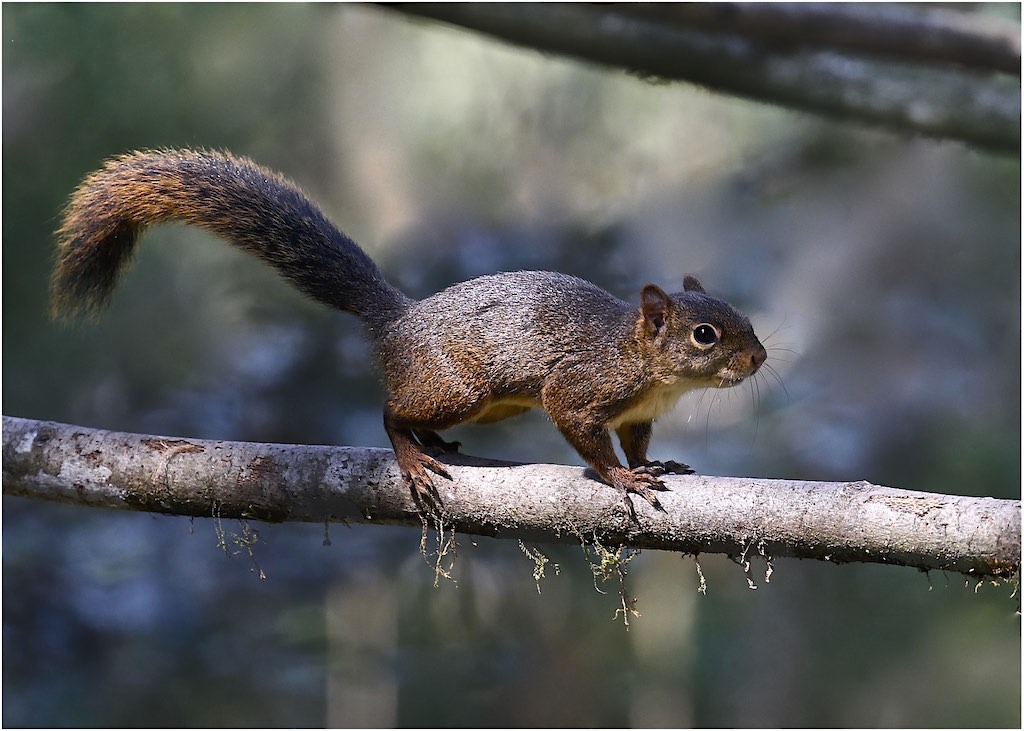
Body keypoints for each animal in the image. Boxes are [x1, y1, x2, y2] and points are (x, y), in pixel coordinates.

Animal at [51, 146, 765, 511]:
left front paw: (651, 462)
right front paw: (621, 478)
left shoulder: (639, 413)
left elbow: (638, 442)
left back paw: (434, 445)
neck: (649, 367)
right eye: (705, 334)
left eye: (743, 319)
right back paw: (413, 455)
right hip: (459, 389)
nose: (759, 358)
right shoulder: (584, 388)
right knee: (391, 411)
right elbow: (585, 435)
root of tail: (398, 320)